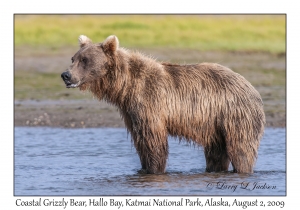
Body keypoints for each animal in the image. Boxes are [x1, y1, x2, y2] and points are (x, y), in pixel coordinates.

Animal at [60, 34, 264, 174]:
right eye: (73, 58)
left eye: (85, 60)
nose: (66, 75)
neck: (125, 86)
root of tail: (250, 86)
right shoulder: (130, 110)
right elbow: (140, 140)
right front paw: (143, 167)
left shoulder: (150, 101)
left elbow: (153, 141)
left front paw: (153, 169)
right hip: (214, 125)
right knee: (216, 153)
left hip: (235, 115)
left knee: (240, 149)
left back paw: (242, 169)